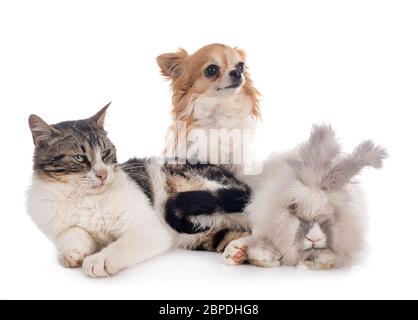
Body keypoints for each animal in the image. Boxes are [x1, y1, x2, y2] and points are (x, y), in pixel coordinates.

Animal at [27, 103, 250, 278]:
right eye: (79, 158)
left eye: (106, 153)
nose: (103, 174)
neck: (83, 198)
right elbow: (70, 232)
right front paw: (71, 252)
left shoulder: (148, 228)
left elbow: (123, 245)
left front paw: (100, 260)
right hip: (200, 234)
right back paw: (238, 250)